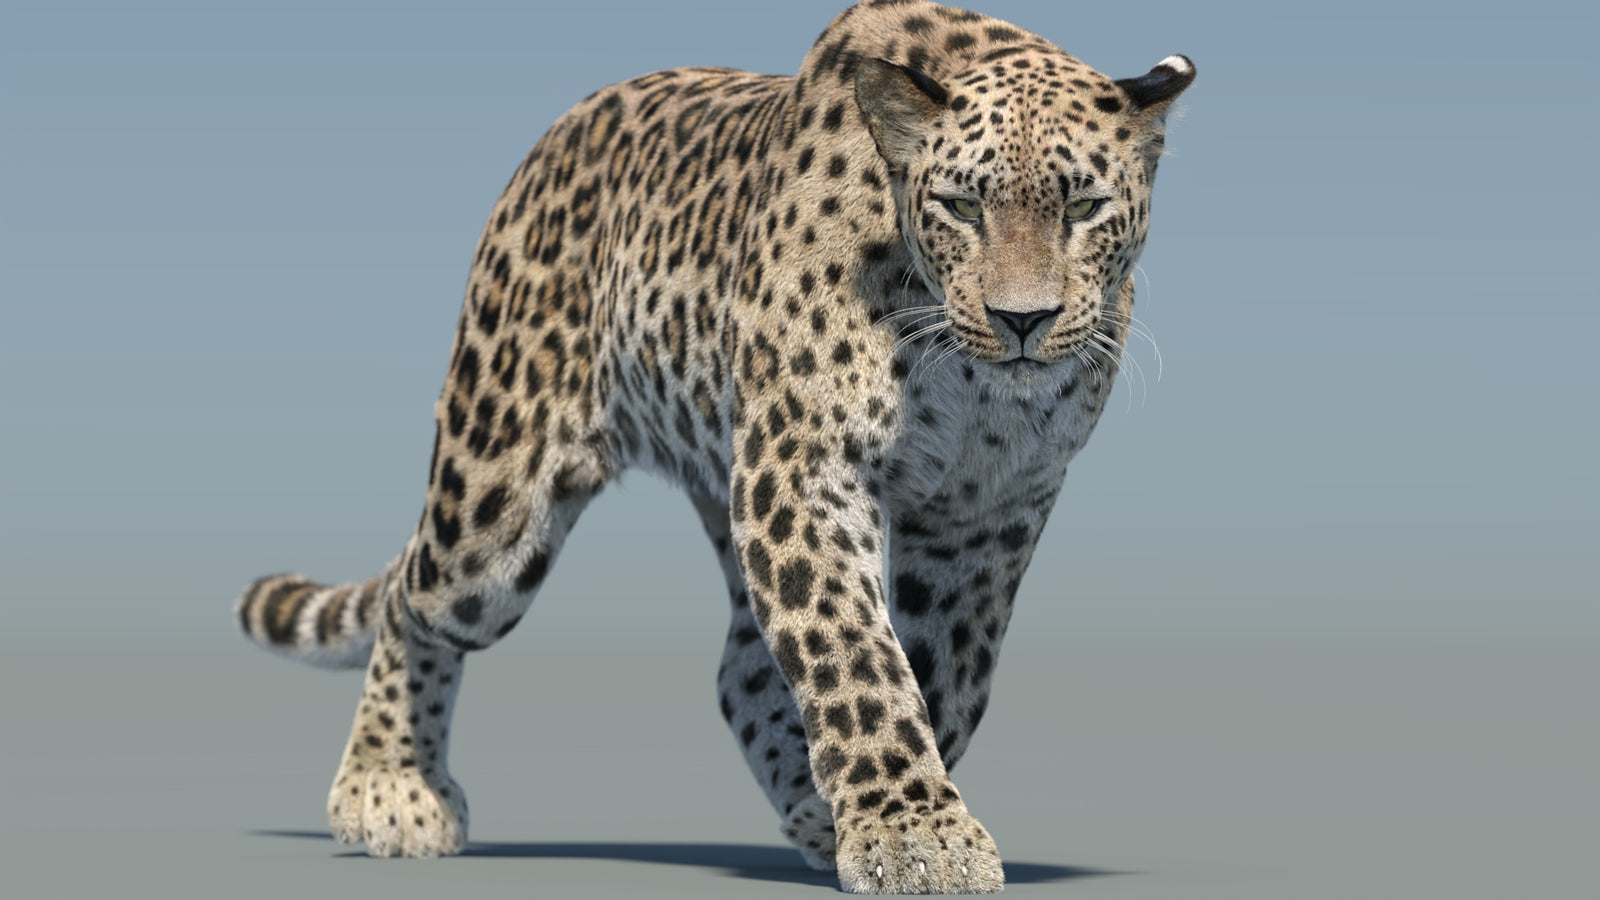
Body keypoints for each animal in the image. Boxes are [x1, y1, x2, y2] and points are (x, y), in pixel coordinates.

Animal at [233, 0, 1193, 893]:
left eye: (1083, 208)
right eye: (962, 207)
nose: (1021, 320)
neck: (967, 377)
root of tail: (557, 134)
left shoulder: (985, 510)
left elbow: (945, 671)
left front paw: (867, 818)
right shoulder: (804, 466)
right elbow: (855, 653)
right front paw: (912, 833)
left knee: (740, 674)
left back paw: (804, 805)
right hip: (496, 500)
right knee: (416, 596)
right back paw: (389, 787)